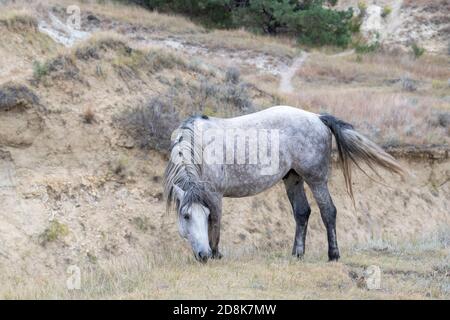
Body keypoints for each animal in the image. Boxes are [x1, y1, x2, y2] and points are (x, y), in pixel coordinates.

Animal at [163, 105, 402, 262]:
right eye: (186, 216)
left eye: (202, 214)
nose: (202, 255)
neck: (201, 146)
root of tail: (318, 117)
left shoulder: (214, 194)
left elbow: (216, 224)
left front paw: (216, 254)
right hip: (293, 178)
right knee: (302, 212)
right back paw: (297, 254)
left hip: (316, 179)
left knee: (328, 211)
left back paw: (333, 255)